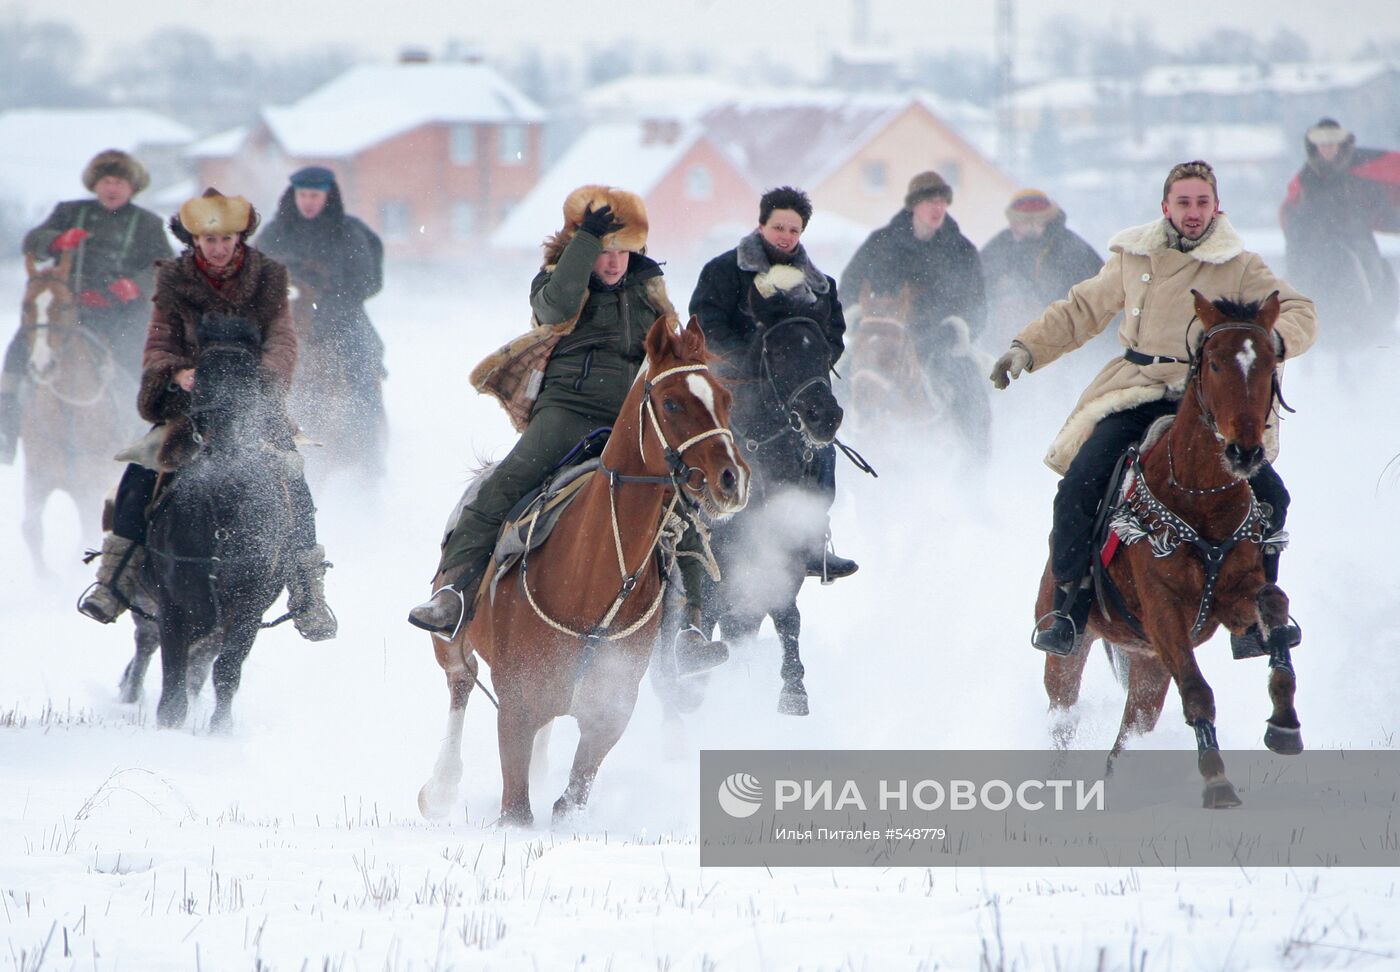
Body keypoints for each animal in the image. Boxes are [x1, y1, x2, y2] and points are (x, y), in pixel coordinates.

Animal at [17, 253, 132, 571]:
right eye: (26, 306)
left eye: (66, 305)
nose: (42, 366)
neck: (66, 416)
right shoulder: (37, 478)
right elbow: (30, 529)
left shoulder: (90, 487)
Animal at [140, 312, 294, 728]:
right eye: (203, 374)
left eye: (249, 376)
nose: (223, 434)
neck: (223, 513)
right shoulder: (173, 604)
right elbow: (173, 674)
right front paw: (169, 725)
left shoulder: (247, 605)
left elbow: (226, 669)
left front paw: (220, 729)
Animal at [414, 316, 744, 823]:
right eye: (671, 403)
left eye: (725, 400)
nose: (732, 479)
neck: (594, 582)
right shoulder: (516, 708)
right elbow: (516, 808)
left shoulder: (608, 713)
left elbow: (571, 798)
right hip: (451, 642)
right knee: (460, 682)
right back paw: (442, 787)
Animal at [1041, 292, 1299, 812]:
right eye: (1214, 362)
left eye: (1269, 363)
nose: (1245, 452)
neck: (1200, 501)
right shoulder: (1163, 612)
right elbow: (1197, 692)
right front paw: (1216, 781)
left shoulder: (1234, 599)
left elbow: (1273, 602)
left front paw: (1284, 722)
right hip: (1072, 646)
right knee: (1063, 712)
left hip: (1149, 665)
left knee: (1129, 731)